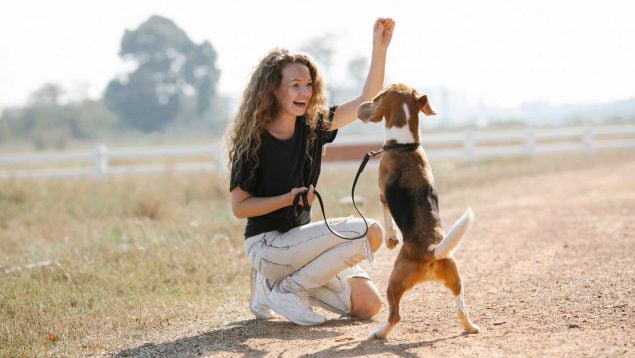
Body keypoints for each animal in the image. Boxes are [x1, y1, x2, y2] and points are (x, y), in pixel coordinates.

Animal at [360, 83, 480, 338]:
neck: (405, 146)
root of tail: (431, 251)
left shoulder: (382, 194)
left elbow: (387, 219)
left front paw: (391, 239)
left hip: (393, 282)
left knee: (395, 316)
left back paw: (379, 332)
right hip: (456, 280)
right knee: (462, 310)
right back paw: (470, 327)